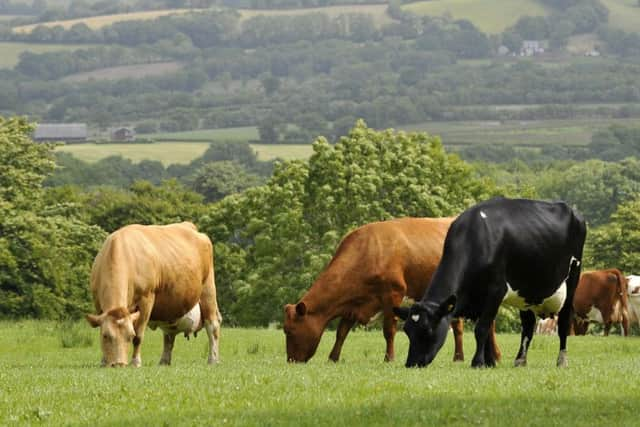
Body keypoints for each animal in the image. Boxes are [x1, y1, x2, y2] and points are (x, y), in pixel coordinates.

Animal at [86, 222, 222, 366]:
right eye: (105, 336)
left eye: (130, 336)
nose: (119, 364)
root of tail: (189, 226)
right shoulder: (98, 303)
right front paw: (103, 361)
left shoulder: (146, 299)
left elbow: (139, 336)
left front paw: (136, 362)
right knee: (169, 335)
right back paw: (164, 361)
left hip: (208, 290)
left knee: (212, 326)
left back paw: (213, 359)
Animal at [284, 219, 500, 362]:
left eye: (289, 330)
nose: (291, 361)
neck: (367, 252)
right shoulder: (354, 303)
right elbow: (342, 331)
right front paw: (333, 358)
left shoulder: (393, 294)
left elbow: (389, 330)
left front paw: (389, 358)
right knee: (459, 326)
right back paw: (459, 357)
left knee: (488, 323)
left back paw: (495, 356)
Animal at [396, 197, 584, 368]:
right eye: (407, 331)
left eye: (427, 330)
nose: (411, 363)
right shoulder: (478, 298)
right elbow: (485, 332)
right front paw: (489, 362)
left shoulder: (495, 291)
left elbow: (481, 329)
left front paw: (478, 362)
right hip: (527, 295)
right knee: (528, 325)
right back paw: (520, 360)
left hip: (572, 281)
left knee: (563, 323)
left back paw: (562, 361)